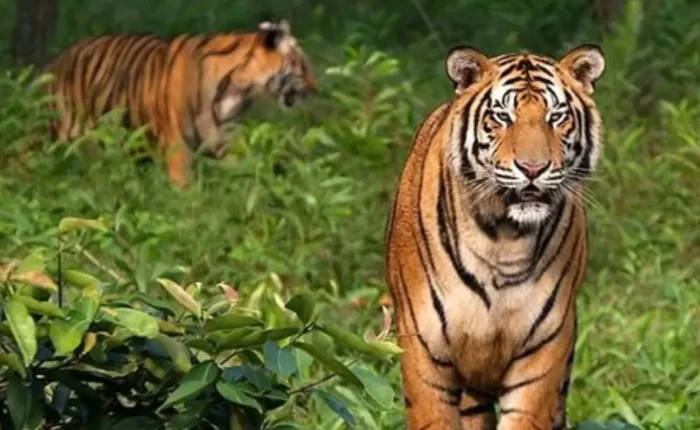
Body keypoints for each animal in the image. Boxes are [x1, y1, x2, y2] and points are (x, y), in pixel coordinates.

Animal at [44, 19, 317, 188]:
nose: (316, 88)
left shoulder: (224, 140)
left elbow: (247, 173)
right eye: (302, 66)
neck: (239, 91)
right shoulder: (177, 147)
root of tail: (57, 60)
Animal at [384, 44, 605, 430]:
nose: (533, 169)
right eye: (502, 116)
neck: (504, 237)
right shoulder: (424, 348)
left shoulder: (545, 349)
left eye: (556, 116)